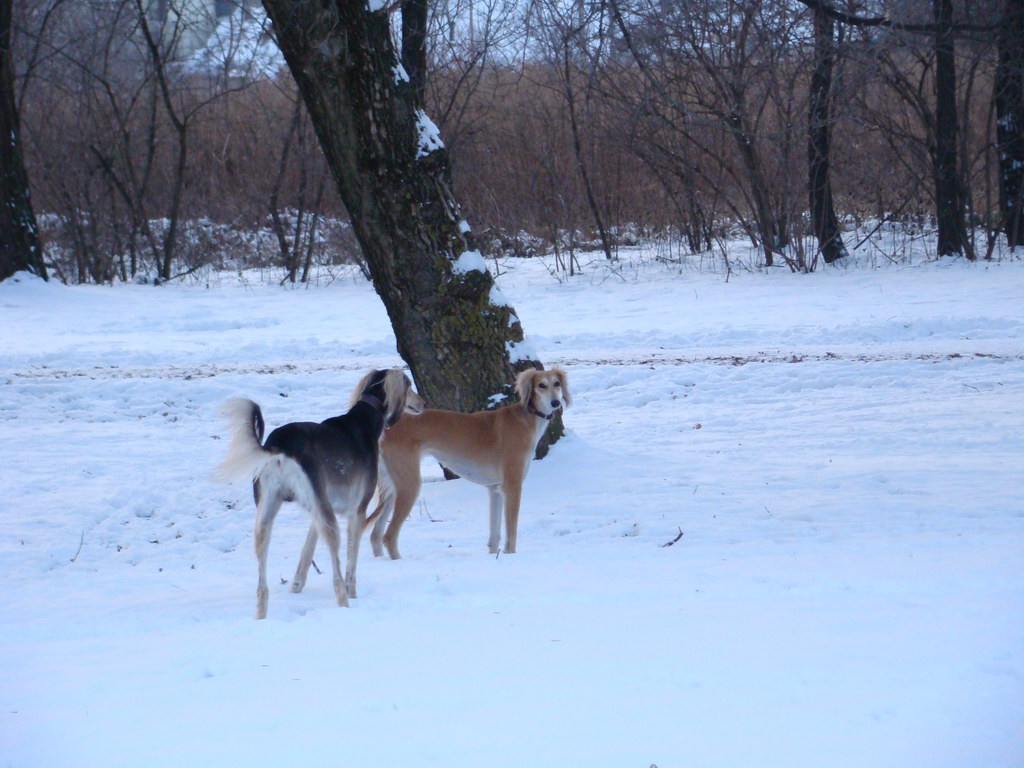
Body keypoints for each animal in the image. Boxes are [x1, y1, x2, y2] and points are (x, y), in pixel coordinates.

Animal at [216, 370, 423, 622]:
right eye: (409, 386)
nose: (422, 403)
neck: (364, 418)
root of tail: (280, 445)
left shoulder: (321, 507)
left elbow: (307, 548)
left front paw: (297, 584)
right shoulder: (356, 511)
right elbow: (351, 563)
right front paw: (353, 594)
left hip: (269, 514)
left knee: (261, 584)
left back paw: (261, 616)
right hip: (326, 519)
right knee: (337, 576)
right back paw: (344, 604)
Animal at [368, 366, 573, 561]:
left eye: (557, 384)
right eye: (541, 385)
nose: (556, 403)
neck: (526, 418)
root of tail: (385, 425)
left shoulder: (495, 488)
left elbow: (494, 535)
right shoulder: (512, 486)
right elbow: (511, 534)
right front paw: (511, 557)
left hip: (392, 488)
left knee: (375, 535)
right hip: (409, 484)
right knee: (389, 536)